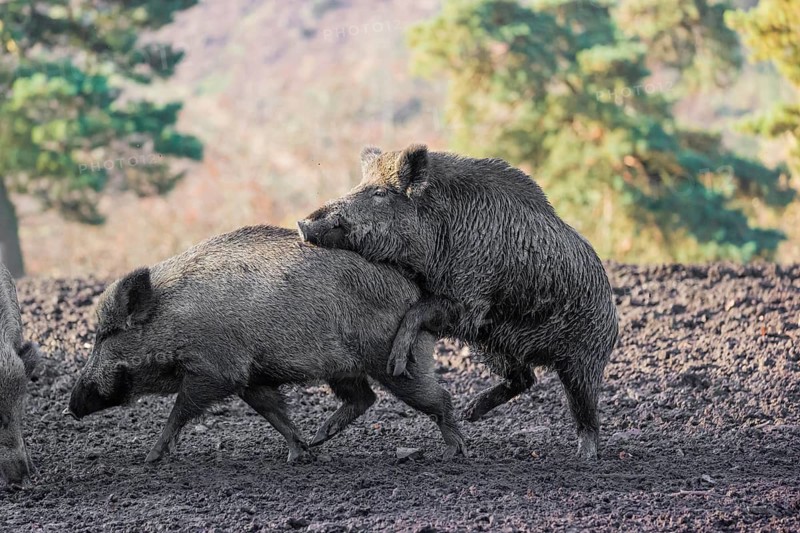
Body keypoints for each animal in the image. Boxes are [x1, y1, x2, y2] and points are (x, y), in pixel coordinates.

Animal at [64, 225, 466, 463]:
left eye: (106, 335)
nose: (71, 406)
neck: (173, 320)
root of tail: (417, 291)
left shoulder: (218, 369)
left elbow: (180, 410)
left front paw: (151, 458)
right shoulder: (251, 377)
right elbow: (273, 412)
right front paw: (299, 454)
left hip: (394, 360)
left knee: (439, 398)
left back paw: (454, 453)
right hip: (343, 368)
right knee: (364, 397)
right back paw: (320, 439)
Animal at [298, 144, 619, 460]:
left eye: (380, 192)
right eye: (360, 184)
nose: (303, 222)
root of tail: (612, 309)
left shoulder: (469, 303)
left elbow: (416, 313)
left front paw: (398, 364)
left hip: (583, 360)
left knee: (585, 411)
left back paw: (585, 456)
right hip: (495, 347)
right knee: (524, 378)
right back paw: (470, 413)